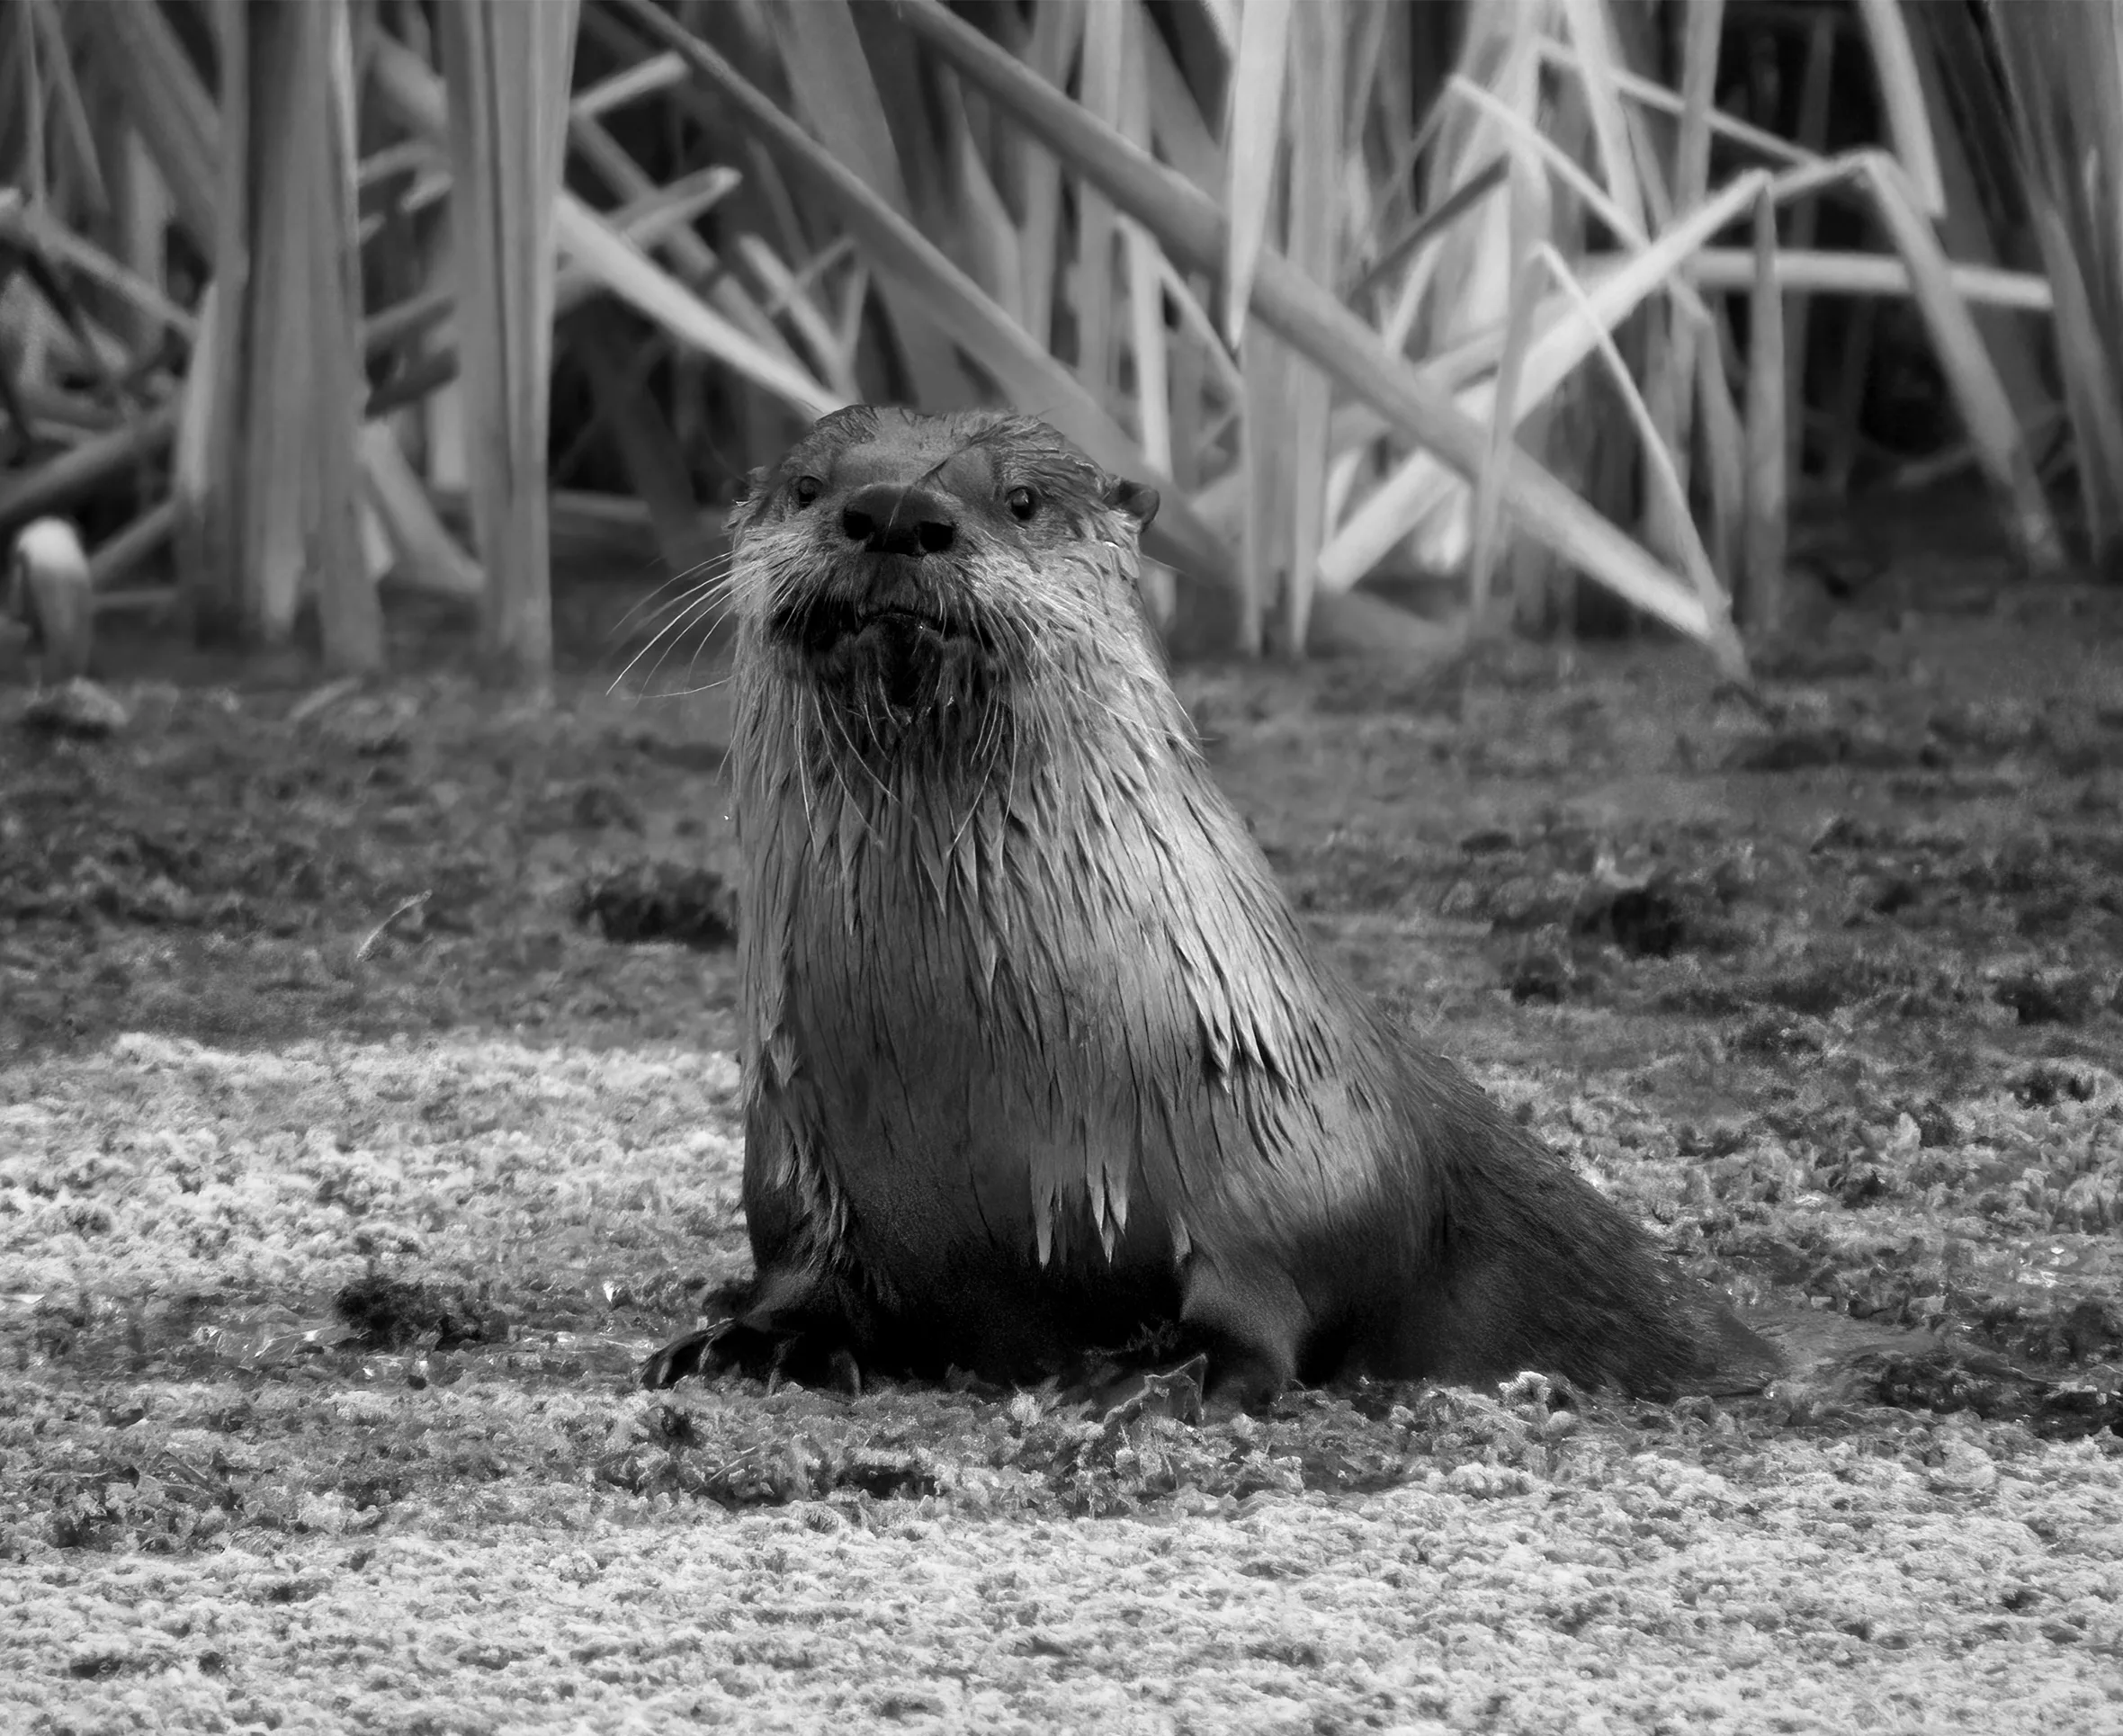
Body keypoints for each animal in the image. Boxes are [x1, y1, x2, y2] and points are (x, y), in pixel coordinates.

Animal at [643, 405, 1780, 1407]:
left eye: (1018, 498)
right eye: (807, 485)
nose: (890, 508)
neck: (956, 1064)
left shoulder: (1290, 1141)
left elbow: (1273, 1279)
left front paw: (1162, 1368)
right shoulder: (798, 1147)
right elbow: (803, 1264)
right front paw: (749, 1341)